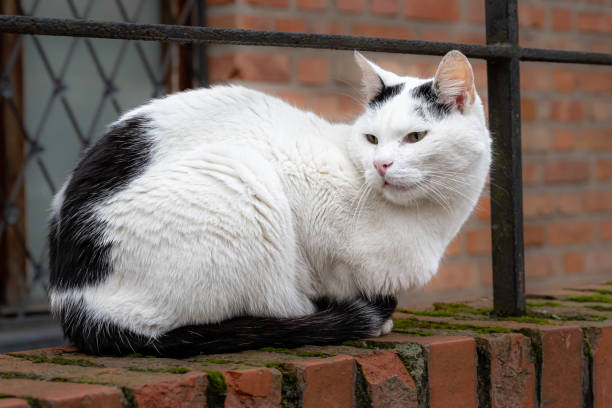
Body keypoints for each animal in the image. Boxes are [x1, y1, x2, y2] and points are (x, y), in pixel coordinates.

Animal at [46, 51, 492, 356]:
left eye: (415, 137)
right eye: (371, 139)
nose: (381, 164)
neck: (425, 220)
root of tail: (73, 299)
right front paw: (369, 316)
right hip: (243, 180)